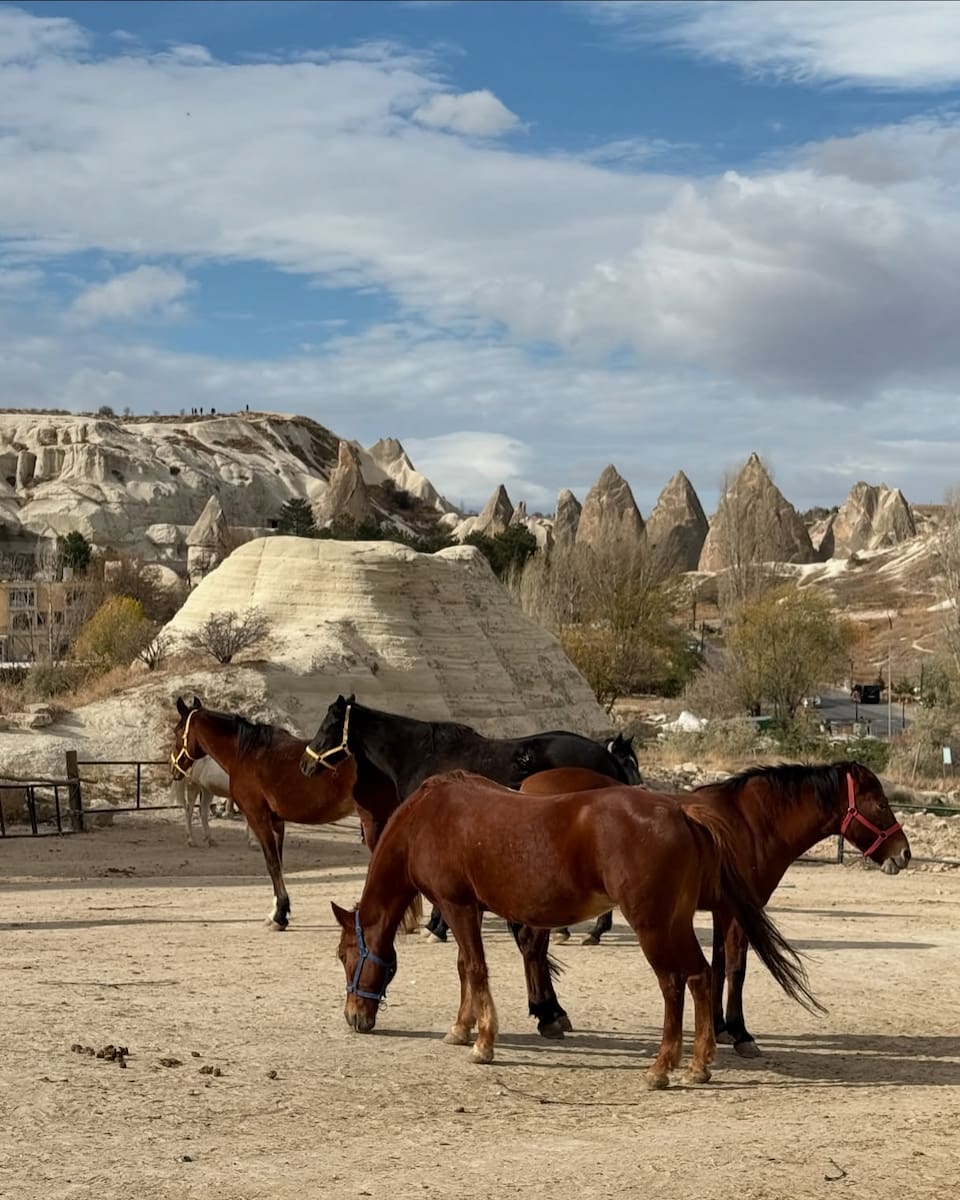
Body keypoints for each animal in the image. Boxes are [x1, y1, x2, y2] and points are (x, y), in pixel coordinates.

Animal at [170, 696, 357, 926]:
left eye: (177, 731)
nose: (173, 767)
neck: (247, 754)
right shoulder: (276, 821)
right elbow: (279, 862)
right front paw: (278, 909)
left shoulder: (257, 816)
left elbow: (272, 863)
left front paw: (279, 915)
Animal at [333, 768, 820, 1089]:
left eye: (344, 956)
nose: (354, 1017)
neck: (428, 817)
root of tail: (682, 813)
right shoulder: (465, 909)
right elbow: (464, 968)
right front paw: (461, 1028)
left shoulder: (458, 906)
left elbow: (474, 969)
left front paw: (483, 1043)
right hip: (676, 923)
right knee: (701, 976)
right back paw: (698, 1064)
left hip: (654, 927)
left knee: (673, 983)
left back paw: (662, 1067)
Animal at [513, 763, 912, 1056]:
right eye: (880, 804)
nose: (904, 853)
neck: (750, 823)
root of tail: (527, 790)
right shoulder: (738, 910)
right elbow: (736, 968)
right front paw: (739, 1032)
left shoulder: (723, 910)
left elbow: (719, 965)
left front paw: (719, 1026)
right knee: (533, 946)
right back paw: (548, 1015)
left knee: (534, 947)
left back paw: (550, 1011)